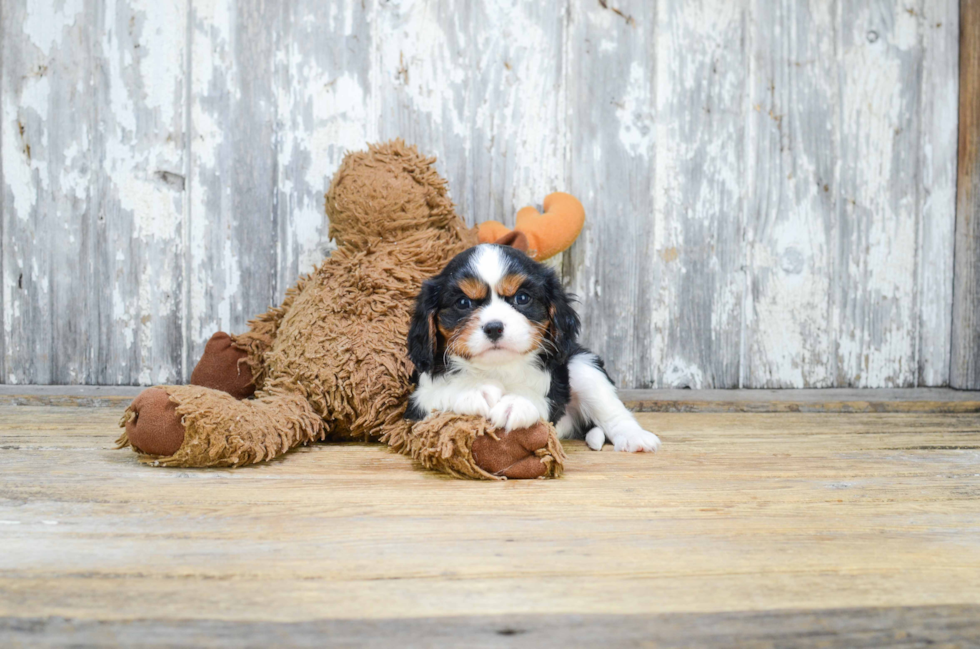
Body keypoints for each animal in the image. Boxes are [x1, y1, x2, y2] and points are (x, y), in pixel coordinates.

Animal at [402, 242, 664, 450]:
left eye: (522, 298)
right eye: (463, 303)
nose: (494, 327)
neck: (496, 368)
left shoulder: (554, 393)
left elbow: (538, 399)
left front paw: (516, 402)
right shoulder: (415, 407)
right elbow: (439, 393)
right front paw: (472, 390)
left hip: (582, 365)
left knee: (612, 411)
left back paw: (636, 438)